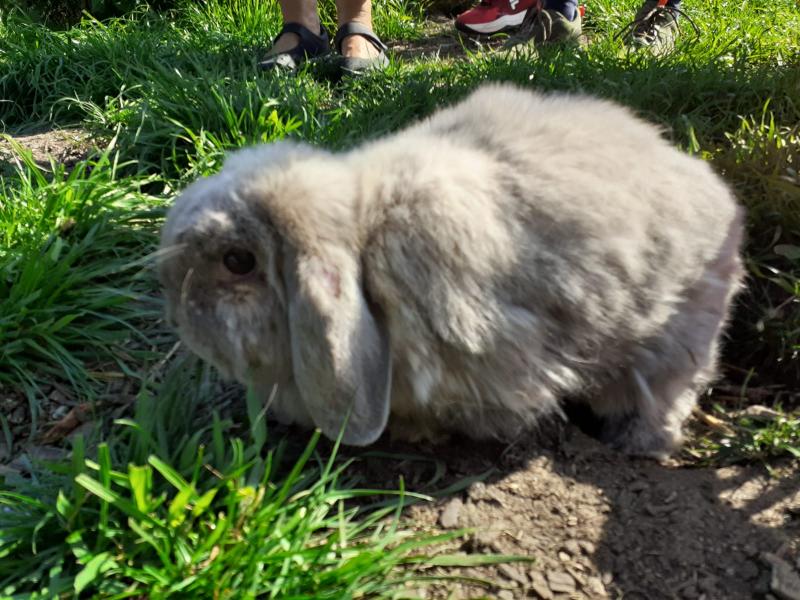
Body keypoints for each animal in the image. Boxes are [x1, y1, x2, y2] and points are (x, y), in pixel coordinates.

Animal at [158, 83, 746, 459]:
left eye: (238, 261)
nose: (172, 307)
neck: (363, 235)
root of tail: (722, 201)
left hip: (679, 340)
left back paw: (638, 444)